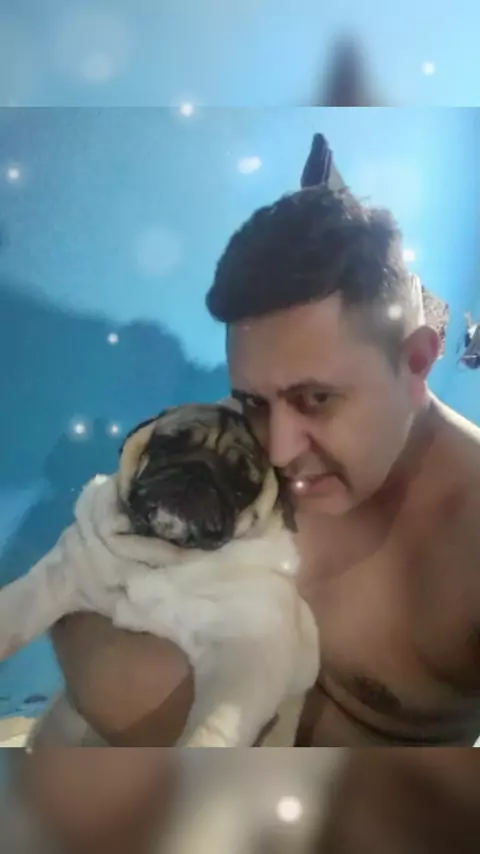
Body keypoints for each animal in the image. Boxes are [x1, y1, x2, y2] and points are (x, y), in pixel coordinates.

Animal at [0, 402, 319, 747]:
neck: (162, 557)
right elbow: (13, 613)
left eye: (241, 484)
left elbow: (211, 729)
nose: (198, 471)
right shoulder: (55, 580)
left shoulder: (244, 660)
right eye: (168, 445)